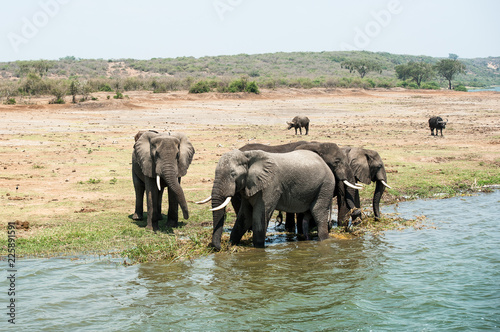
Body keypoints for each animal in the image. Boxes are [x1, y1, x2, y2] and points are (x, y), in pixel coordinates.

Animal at [207, 148, 336, 249]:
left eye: (233, 174)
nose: (218, 247)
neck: (247, 155)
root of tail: (325, 163)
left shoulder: (270, 186)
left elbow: (259, 215)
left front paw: (258, 248)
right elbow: (244, 216)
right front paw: (231, 244)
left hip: (326, 185)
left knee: (317, 212)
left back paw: (323, 241)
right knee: (306, 216)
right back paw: (308, 240)